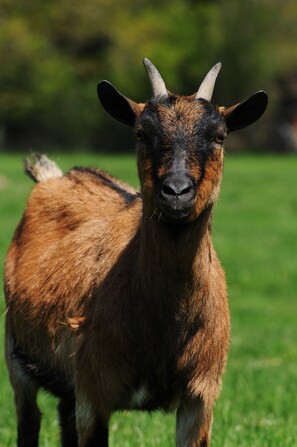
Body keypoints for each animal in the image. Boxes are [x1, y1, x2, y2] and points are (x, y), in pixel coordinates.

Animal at [4, 57, 268, 446]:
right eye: (141, 133)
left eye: (219, 136)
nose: (176, 191)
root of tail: (52, 177)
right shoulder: (94, 391)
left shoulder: (200, 398)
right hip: (17, 354)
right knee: (29, 420)